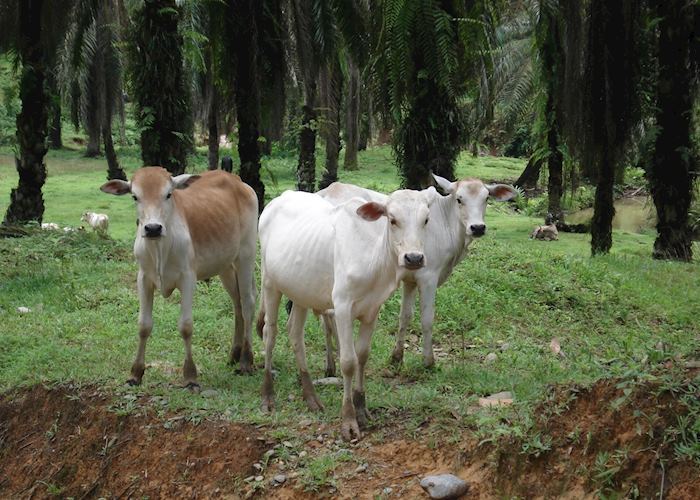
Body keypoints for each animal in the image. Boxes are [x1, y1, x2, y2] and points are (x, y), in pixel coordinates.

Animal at [100, 167, 258, 390]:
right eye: (135, 196)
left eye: (168, 194)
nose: (153, 228)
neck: (160, 248)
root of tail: (238, 181)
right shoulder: (143, 279)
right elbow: (144, 325)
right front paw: (135, 373)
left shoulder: (188, 279)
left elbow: (186, 326)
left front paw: (190, 376)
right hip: (225, 266)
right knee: (237, 303)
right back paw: (234, 354)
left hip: (246, 256)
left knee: (247, 304)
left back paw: (245, 361)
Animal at [257, 188, 437, 440]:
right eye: (392, 219)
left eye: (426, 220)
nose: (414, 258)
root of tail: (280, 198)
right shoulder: (341, 308)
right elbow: (348, 361)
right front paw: (349, 419)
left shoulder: (372, 310)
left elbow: (362, 355)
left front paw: (361, 409)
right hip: (269, 283)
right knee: (269, 334)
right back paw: (267, 396)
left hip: (301, 291)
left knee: (295, 334)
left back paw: (311, 397)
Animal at [317, 175, 518, 368]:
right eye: (459, 199)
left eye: (486, 198)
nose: (477, 228)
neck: (447, 223)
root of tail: (327, 192)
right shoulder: (428, 277)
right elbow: (427, 319)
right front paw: (428, 361)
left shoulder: (410, 279)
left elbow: (405, 316)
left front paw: (397, 356)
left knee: (325, 319)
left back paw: (330, 364)